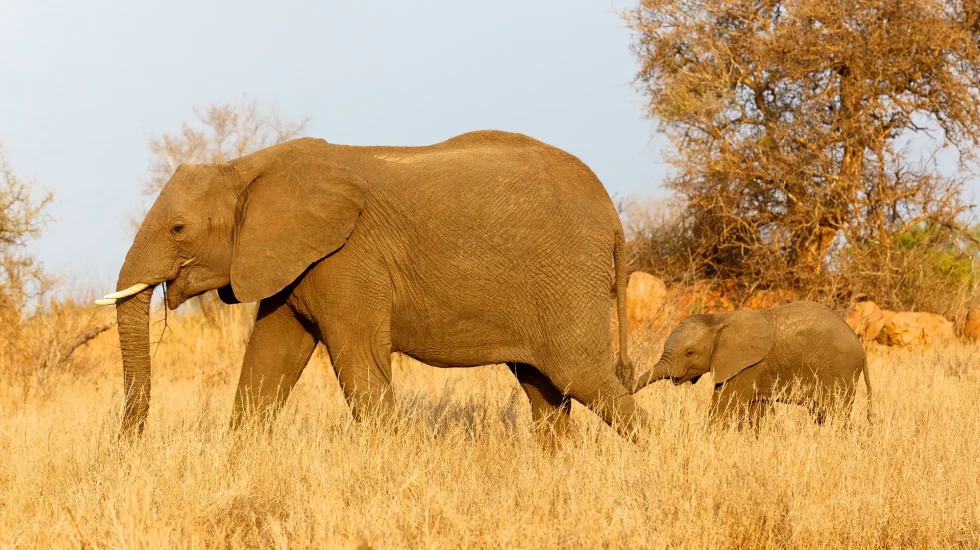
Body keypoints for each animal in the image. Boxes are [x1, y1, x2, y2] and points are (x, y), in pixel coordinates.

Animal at [97, 130, 649, 443]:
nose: (127, 446)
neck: (246, 166)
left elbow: (359, 366)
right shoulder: (292, 262)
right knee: (545, 391)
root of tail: (613, 217)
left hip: (569, 278)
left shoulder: (348, 259)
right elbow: (268, 360)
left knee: (583, 376)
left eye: (178, 229)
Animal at [630, 301, 872, 428]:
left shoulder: (745, 366)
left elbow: (723, 408)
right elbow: (756, 409)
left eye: (690, 353)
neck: (718, 319)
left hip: (841, 371)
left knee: (835, 414)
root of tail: (861, 347)